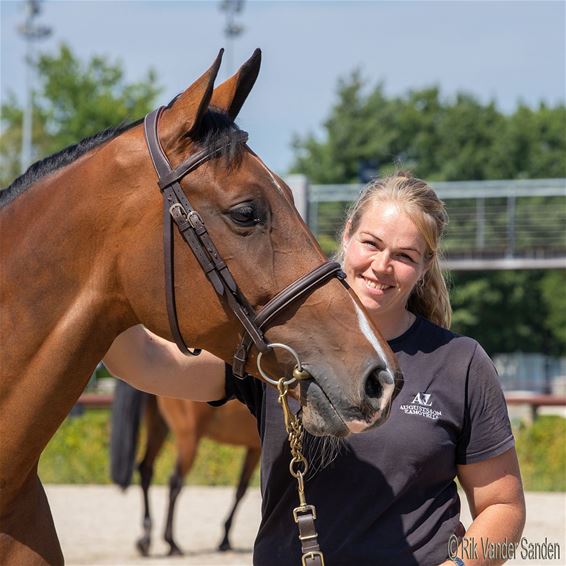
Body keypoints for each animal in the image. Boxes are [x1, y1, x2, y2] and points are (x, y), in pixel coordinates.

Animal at [111, 380, 262, 556]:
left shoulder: (254, 448)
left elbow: (241, 490)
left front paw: (225, 539)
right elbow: (243, 491)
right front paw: (225, 539)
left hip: (158, 428)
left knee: (145, 470)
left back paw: (146, 540)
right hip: (188, 440)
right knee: (175, 483)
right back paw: (171, 542)